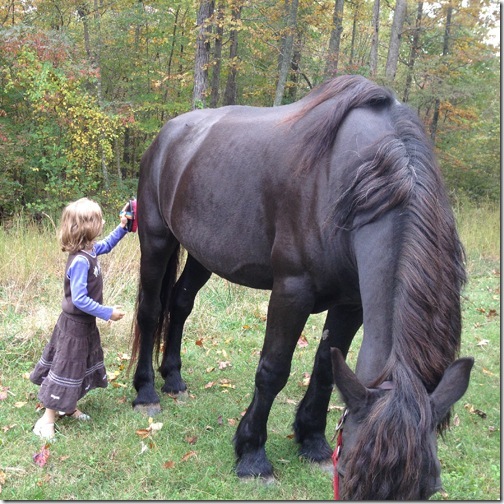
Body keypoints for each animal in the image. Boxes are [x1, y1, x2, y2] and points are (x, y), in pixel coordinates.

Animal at [129, 75, 472, 500]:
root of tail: (168, 135)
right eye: (350, 476)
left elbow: (326, 368)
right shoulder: (292, 291)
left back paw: (174, 379)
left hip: (201, 254)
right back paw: (146, 392)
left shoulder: (351, 303)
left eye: (431, 486)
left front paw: (312, 440)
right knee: (150, 310)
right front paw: (252, 455)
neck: (358, 181)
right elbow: (273, 370)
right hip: (157, 239)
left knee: (180, 303)